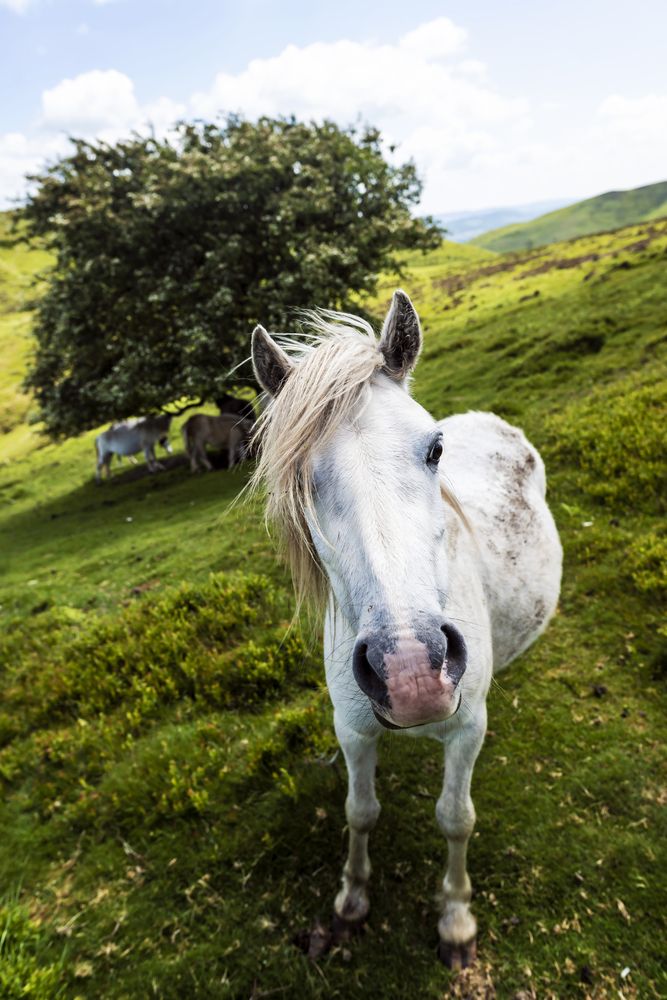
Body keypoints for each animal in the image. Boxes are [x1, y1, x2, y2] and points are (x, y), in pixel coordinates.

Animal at [249, 290, 562, 968]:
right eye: (301, 477)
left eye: (434, 450)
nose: (411, 669)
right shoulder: (351, 729)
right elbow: (360, 811)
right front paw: (351, 901)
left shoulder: (468, 729)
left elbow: (455, 817)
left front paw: (456, 921)